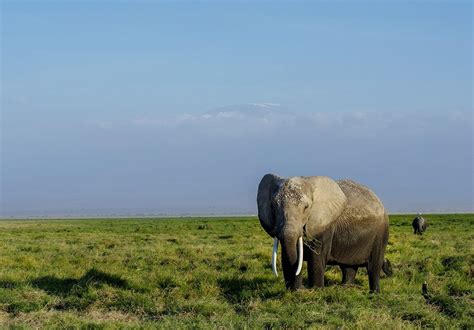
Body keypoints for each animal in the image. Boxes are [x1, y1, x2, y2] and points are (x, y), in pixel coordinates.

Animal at [260, 174, 388, 292]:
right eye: (273, 206)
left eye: (306, 207)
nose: (301, 288)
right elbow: (286, 256)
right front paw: (294, 291)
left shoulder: (324, 225)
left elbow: (316, 258)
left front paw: (316, 290)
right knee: (348, 266)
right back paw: (345, 288)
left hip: (381, 233)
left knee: (373, 266)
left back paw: (374, 293)